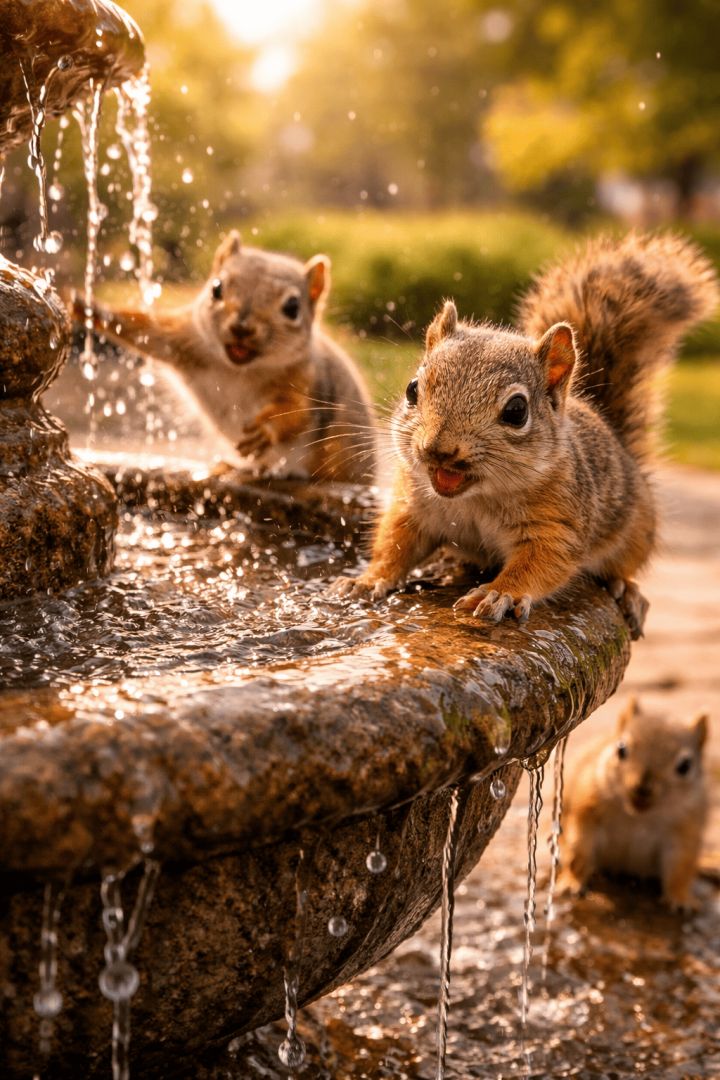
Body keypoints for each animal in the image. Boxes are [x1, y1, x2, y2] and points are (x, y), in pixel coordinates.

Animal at [73, 232, 376, 483]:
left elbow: (297, 411)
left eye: (292, 307)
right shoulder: (187, 338)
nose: (242, 327)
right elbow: (147, 331)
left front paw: (265, 429)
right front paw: (89, 308)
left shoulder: (307, 378)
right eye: (216, 288)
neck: (239, 369)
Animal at [332, 233, 718, 637]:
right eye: (412, 390)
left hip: (636, 531)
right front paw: (367, 580)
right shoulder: (414, 506)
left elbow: (540, 563)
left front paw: (500, 593)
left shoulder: (558, 524)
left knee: (622, 566)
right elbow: (395, 543)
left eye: (517, 411)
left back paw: (625, 590)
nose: (437, 450)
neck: (477, 498)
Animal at [558, 697, 709, 911]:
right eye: (621, 749)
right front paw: (571, 882)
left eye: (685, 766)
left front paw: (681, 899)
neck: (638, 816)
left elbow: (680, 866)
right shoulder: (587, 810)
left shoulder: (685, 828)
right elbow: (579, 851)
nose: (642, 789)